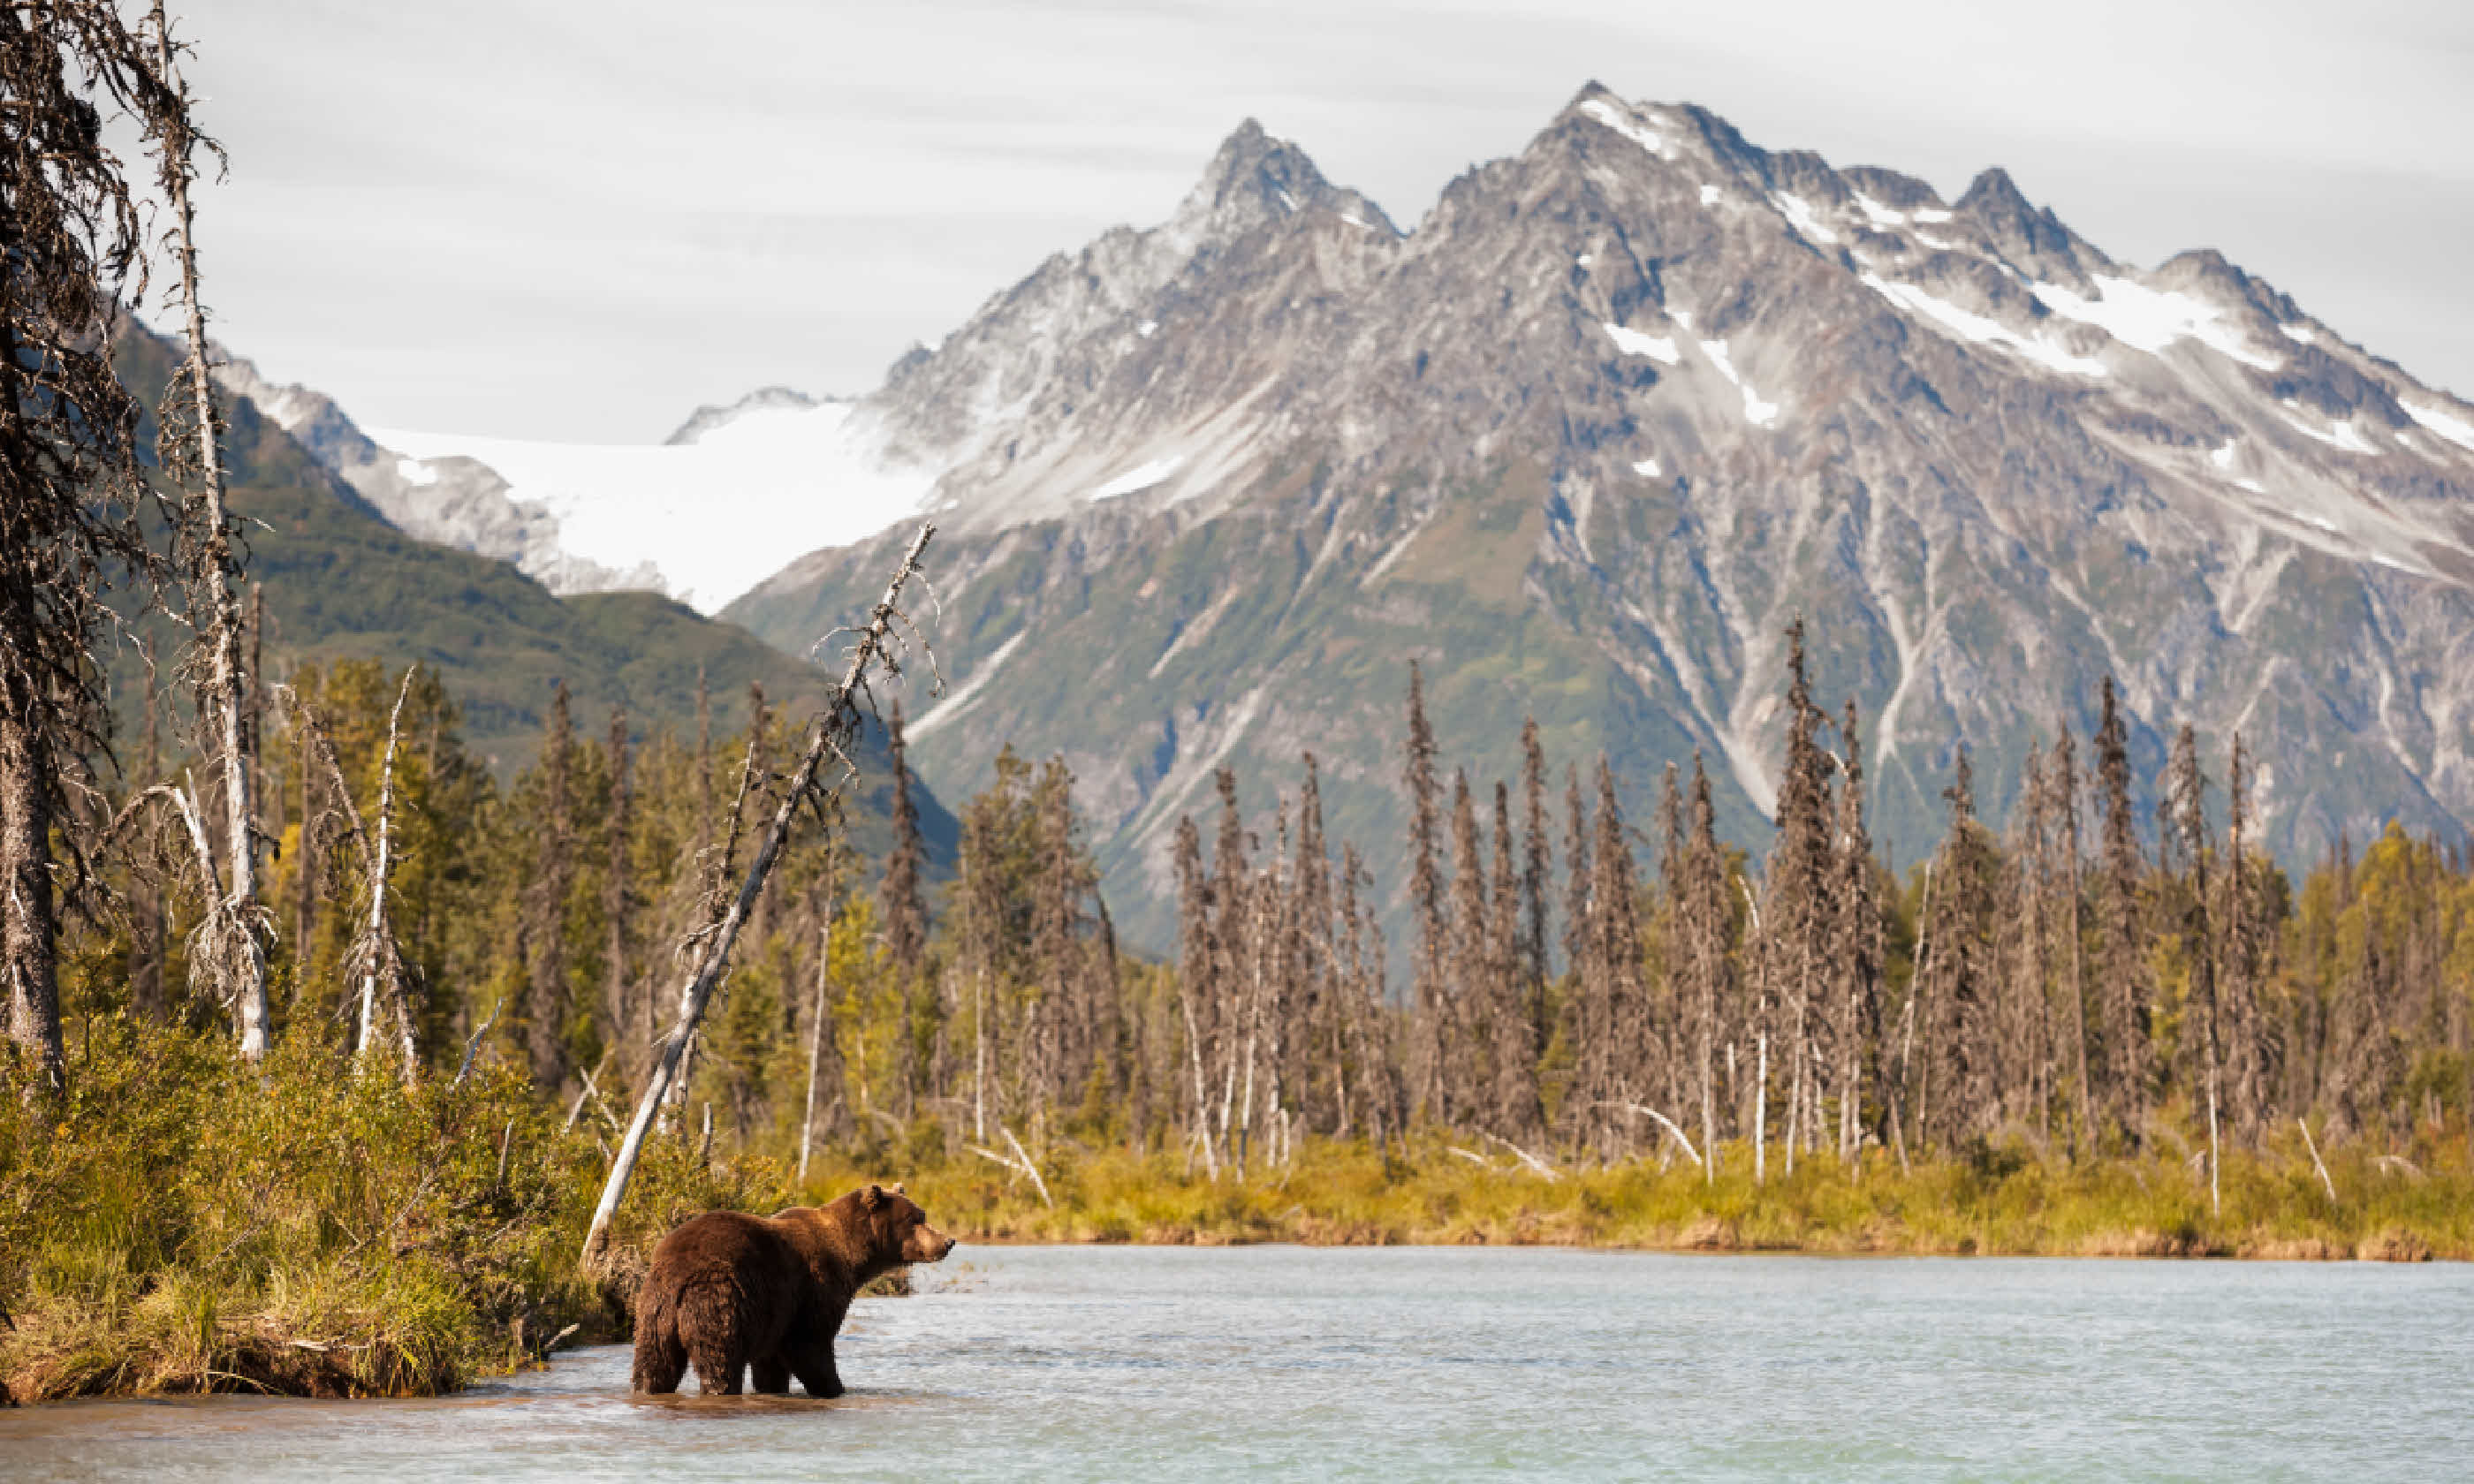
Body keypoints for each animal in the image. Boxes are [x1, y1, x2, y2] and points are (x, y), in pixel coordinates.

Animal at [633, 1177, 950, 1395]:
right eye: (915, 1219)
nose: (947, 1241)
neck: (851, 1254)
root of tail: (678, 1273)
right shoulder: (813, 1289)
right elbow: (811, 1345)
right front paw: (834, 1387)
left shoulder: (773, 1317)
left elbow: (771, 1365)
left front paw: (774, 1388)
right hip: (718, 1300)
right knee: (719, 1361)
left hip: (654, 1313)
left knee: (654, 1363)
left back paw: (647, 1389)